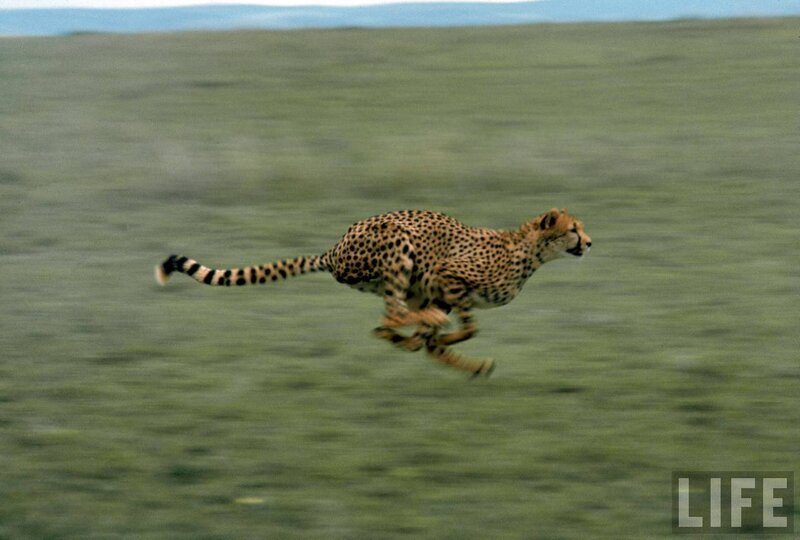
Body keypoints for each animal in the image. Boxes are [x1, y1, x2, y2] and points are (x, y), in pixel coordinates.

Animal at [155, 208, 591, 378]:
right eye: (573, 229)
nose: (589, 243)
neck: (529, 251)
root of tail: (334, 249)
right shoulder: (448, 276)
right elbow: (468, 327)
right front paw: (445, 340)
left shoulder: (443, 290)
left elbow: (446, 338)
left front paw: (459, 357)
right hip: (399, 246)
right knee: (392, 314)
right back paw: (416, 331)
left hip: (406, 281)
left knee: (384, 324)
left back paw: (409, 340)